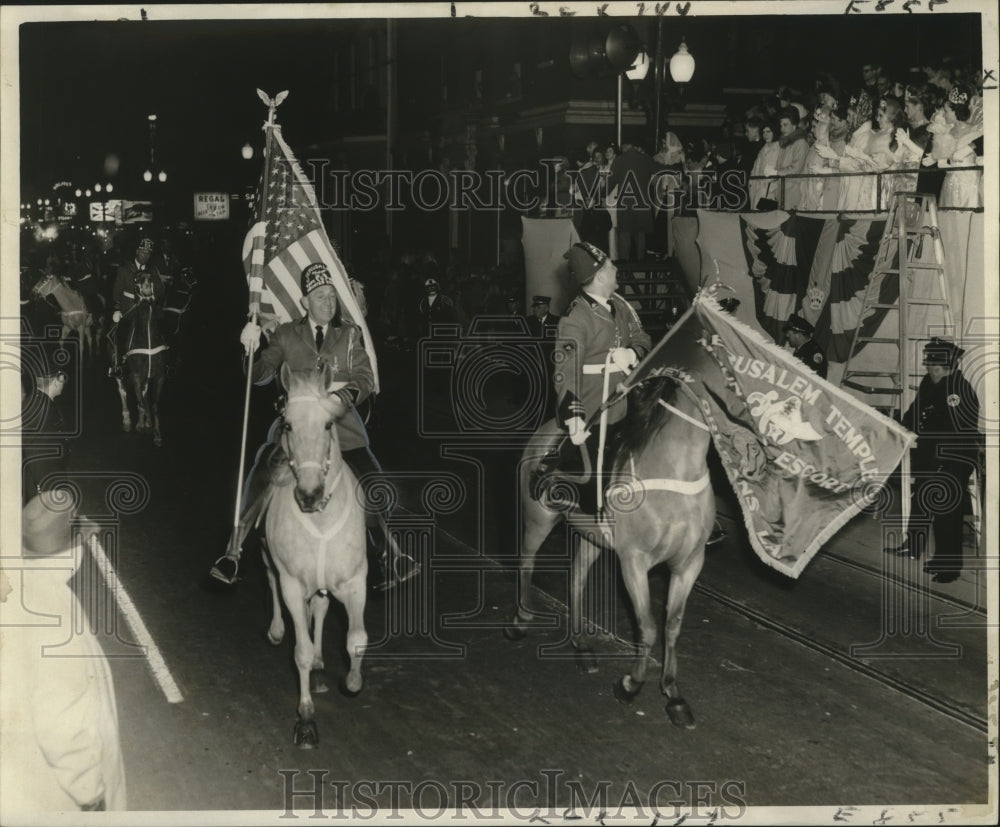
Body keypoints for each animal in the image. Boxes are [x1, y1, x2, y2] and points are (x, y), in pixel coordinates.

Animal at [262, 362, 368, 752]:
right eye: (288, 425)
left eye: (327, 425)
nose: (309, 494)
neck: (319, 516)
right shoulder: (293, 584)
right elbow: (301, 652)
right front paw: (306, 719)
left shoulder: (355, 582)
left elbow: (356, 639)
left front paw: (351, 682)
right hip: (272, 563)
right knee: (272, 583)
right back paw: (277, 629)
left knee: (320, 609)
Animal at [508, 372, 712, 728]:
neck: (677, 469)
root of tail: (547, 429)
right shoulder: (634, 561)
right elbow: (647, 626)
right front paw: (631, 685)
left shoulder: (689, 563)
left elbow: (672, 626)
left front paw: (674, 695)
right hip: (538, 519)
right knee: (526, 562)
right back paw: (521, 620)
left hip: (592, 537)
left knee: (576, 579)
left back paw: (581, 646)